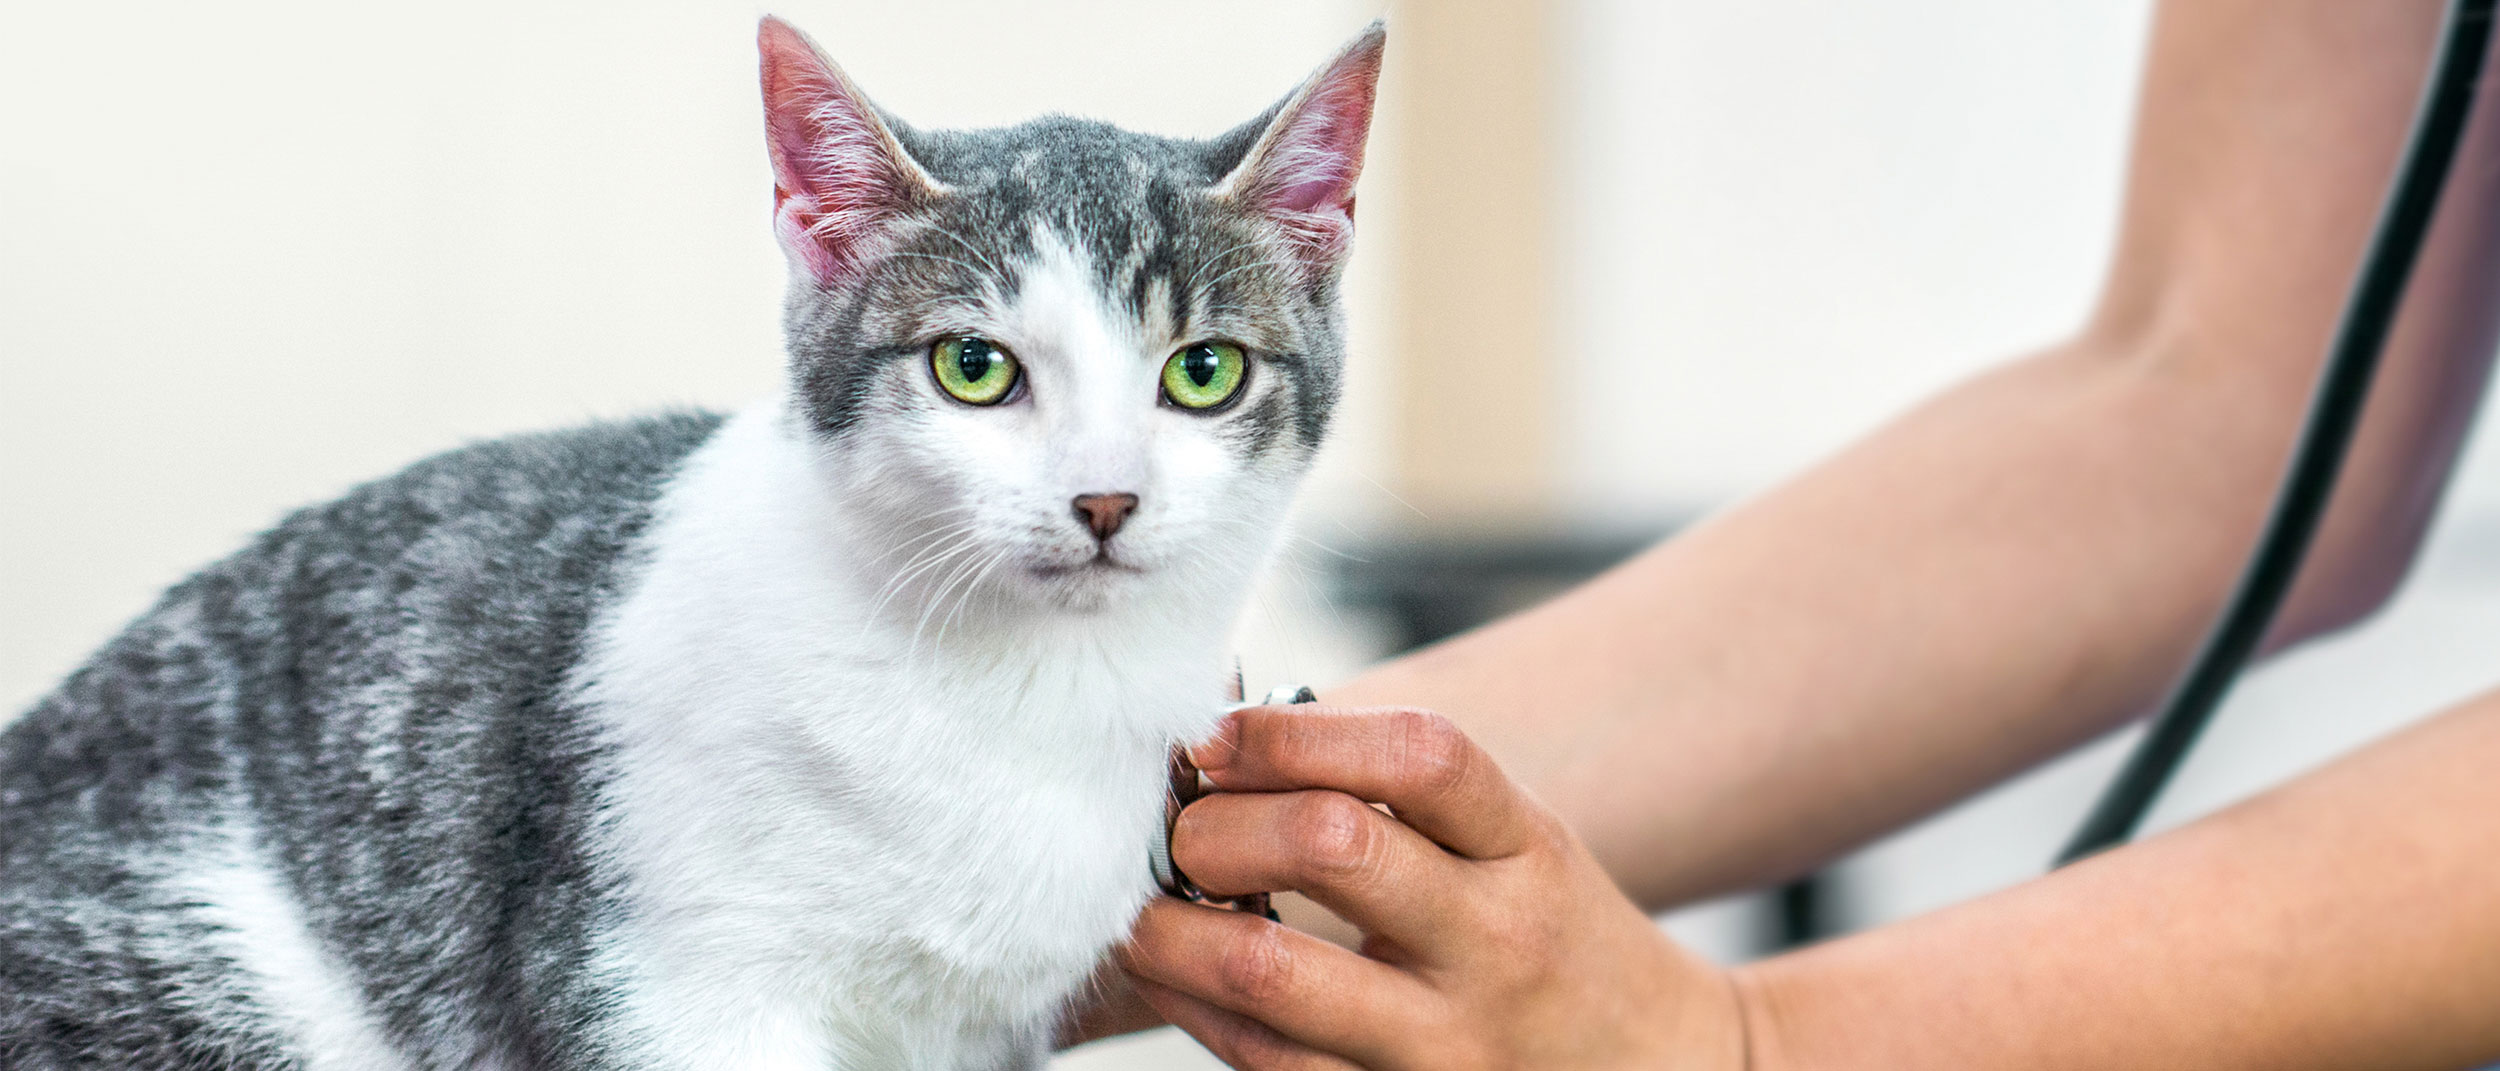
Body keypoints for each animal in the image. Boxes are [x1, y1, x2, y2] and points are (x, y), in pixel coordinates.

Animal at [0, 18, 1390, 1071]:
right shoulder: (658, 979)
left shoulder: (969, 1032)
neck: (1009, 690)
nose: (1105, 500)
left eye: (1202, 371)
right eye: (973, 367)